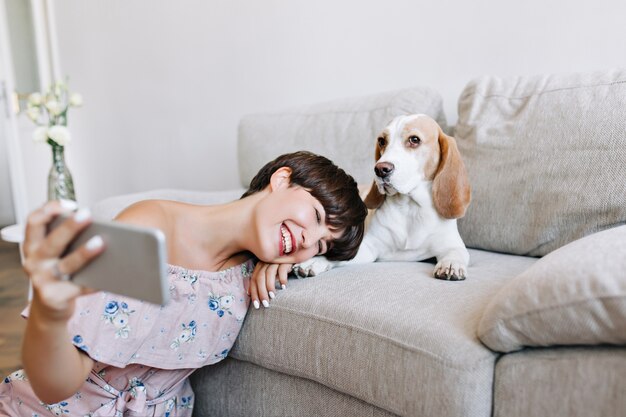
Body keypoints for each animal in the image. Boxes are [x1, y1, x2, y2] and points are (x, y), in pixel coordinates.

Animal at [294, 114, 470, 280]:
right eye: (382, 141)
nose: (380, 169)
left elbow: (457, 252)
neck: (410, 208)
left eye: (414, 140)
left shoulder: (452, 245)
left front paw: (451, 264)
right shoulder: (367, 248)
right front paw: (315, 261)